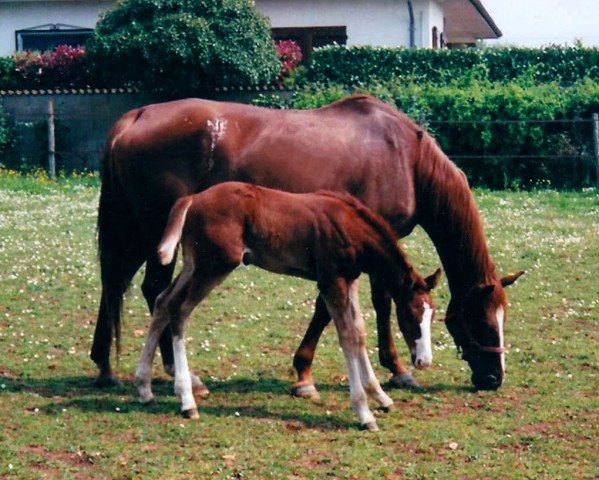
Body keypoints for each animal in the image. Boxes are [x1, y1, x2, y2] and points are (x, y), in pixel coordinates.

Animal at [135, 183, 440, 432]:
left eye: (432, 315)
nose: (424, 361)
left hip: (193, 264)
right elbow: (348, 337)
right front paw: (364, 413)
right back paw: (187, 402)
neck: (351, 225)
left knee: (163, 302)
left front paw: (381, 396)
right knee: (180, 311)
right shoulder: (331, 281)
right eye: (410, 316)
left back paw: (145, 388)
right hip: (215, 265)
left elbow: (359, 332)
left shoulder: (350, 279)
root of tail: (193, 199)